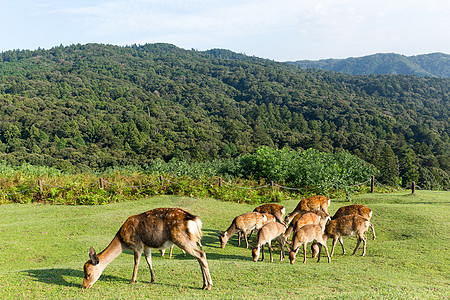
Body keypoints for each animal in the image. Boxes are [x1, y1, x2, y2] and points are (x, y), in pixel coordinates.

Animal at [82, 207, 213, 290]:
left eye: (88, 274)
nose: (84, 286)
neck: (122, 240)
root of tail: (196, 220)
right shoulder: (146, 246)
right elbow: (149, 260)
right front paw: (153, 279)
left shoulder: (137, 245)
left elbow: (136, 262)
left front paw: (132, 280)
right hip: (192, 240)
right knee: (199, 256)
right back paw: (203, 284)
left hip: (181, 239)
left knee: (201, 255)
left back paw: (209, 285)